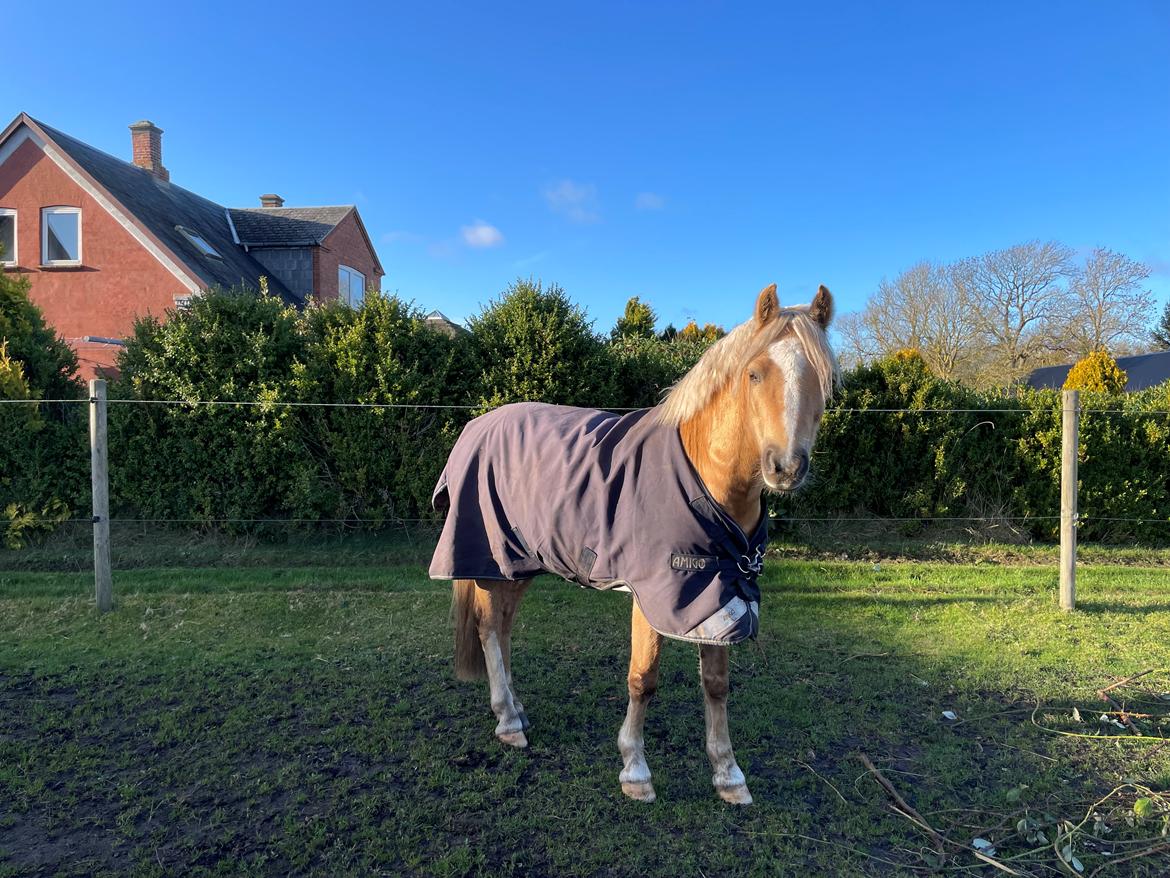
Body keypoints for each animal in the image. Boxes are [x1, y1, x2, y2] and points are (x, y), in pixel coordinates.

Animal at [429, 283, 837, 805]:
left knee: (501, 628)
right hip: (492, 561)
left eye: (824, 381)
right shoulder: (652, 594)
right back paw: (507, 722)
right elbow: (643, 679)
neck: (705, 475)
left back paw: (516, 711)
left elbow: (716, 683)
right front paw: (635, 771)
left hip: (521, 564)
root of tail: (476, 426)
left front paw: (729, 775)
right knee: (487, 628)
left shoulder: (719, 593)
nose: (786, 467)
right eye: (754, 373)